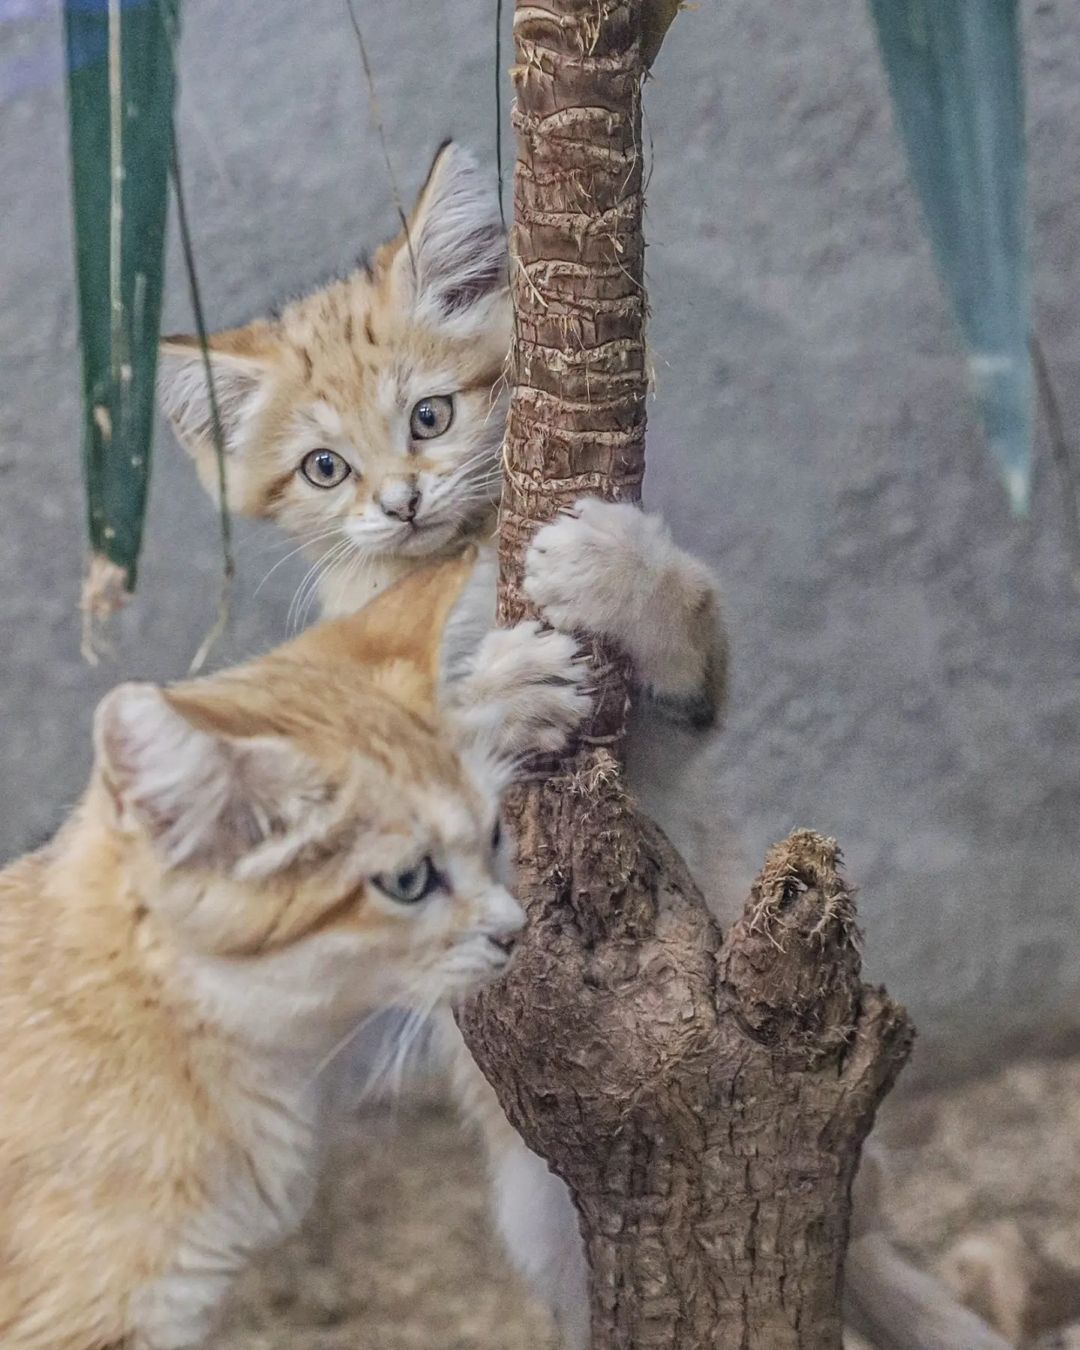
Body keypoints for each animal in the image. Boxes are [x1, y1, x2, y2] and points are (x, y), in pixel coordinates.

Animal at [162, 142, 1015, 1350]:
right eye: (324, 468)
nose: (400, 501)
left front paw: (619, 571)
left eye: (430, 416)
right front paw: (498, 696)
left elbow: (689, 625)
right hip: (539, 1216)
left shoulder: (666, 736)